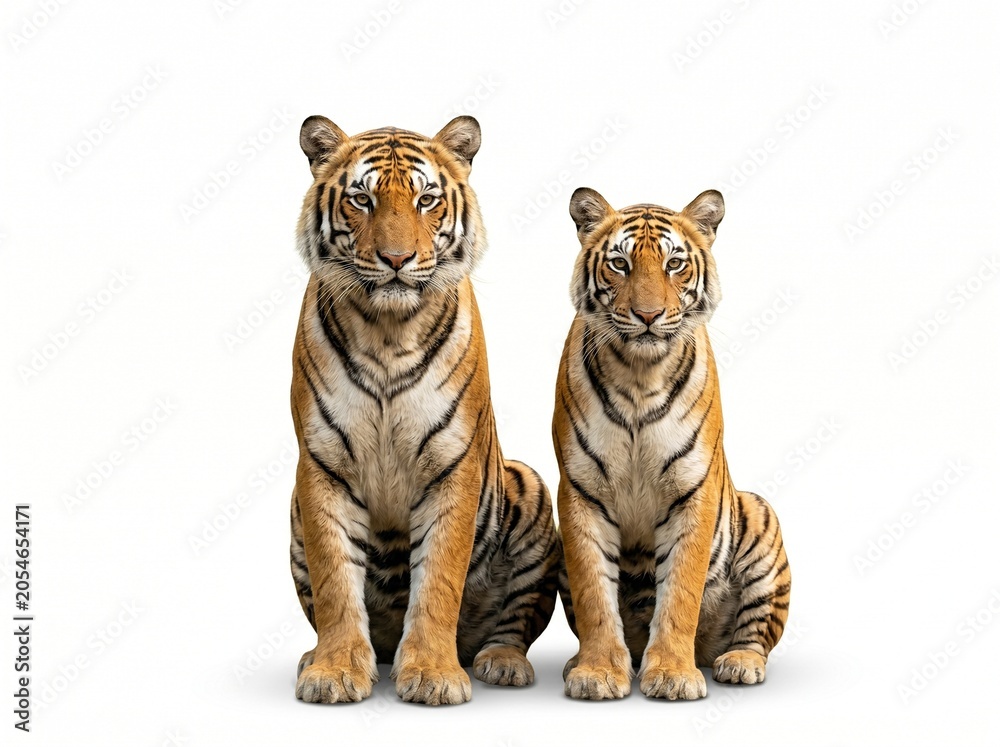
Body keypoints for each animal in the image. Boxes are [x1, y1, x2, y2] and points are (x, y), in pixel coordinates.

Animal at [288, 115, 560, 706]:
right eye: (362, 200)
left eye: (427, 199)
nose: (396, 260)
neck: (387, 331)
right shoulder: (322, 465)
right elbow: (334, 579)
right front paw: (334, 670)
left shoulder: (452, 465)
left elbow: (438, 577)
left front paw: (434, 675)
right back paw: (315, 656)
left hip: (528, 487)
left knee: (516, 622)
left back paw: (501, 663)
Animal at [552, 187, 791, 700]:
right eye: (620, 264)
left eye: (674, 263)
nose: (647, 315)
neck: (639, 375)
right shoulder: (581, 492)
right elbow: (594, 595)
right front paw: (597, 671)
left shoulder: (692, 490)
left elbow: (680, 591)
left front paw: (673, 675)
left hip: (761, 521)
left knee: (757, 631)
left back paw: (737, 663)